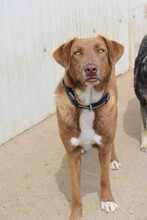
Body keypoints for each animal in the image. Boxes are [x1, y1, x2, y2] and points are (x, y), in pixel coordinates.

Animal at [52, 35, 124, 219]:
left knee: (112, 140)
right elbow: (75, 189)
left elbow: (104, 179)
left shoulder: (104, 146)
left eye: (101, 50)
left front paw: (107, 201)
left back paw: (114, 160)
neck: (87, 104)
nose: (90, 69)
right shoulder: (72, 154)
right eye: (77, 53)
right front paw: (76, 213)